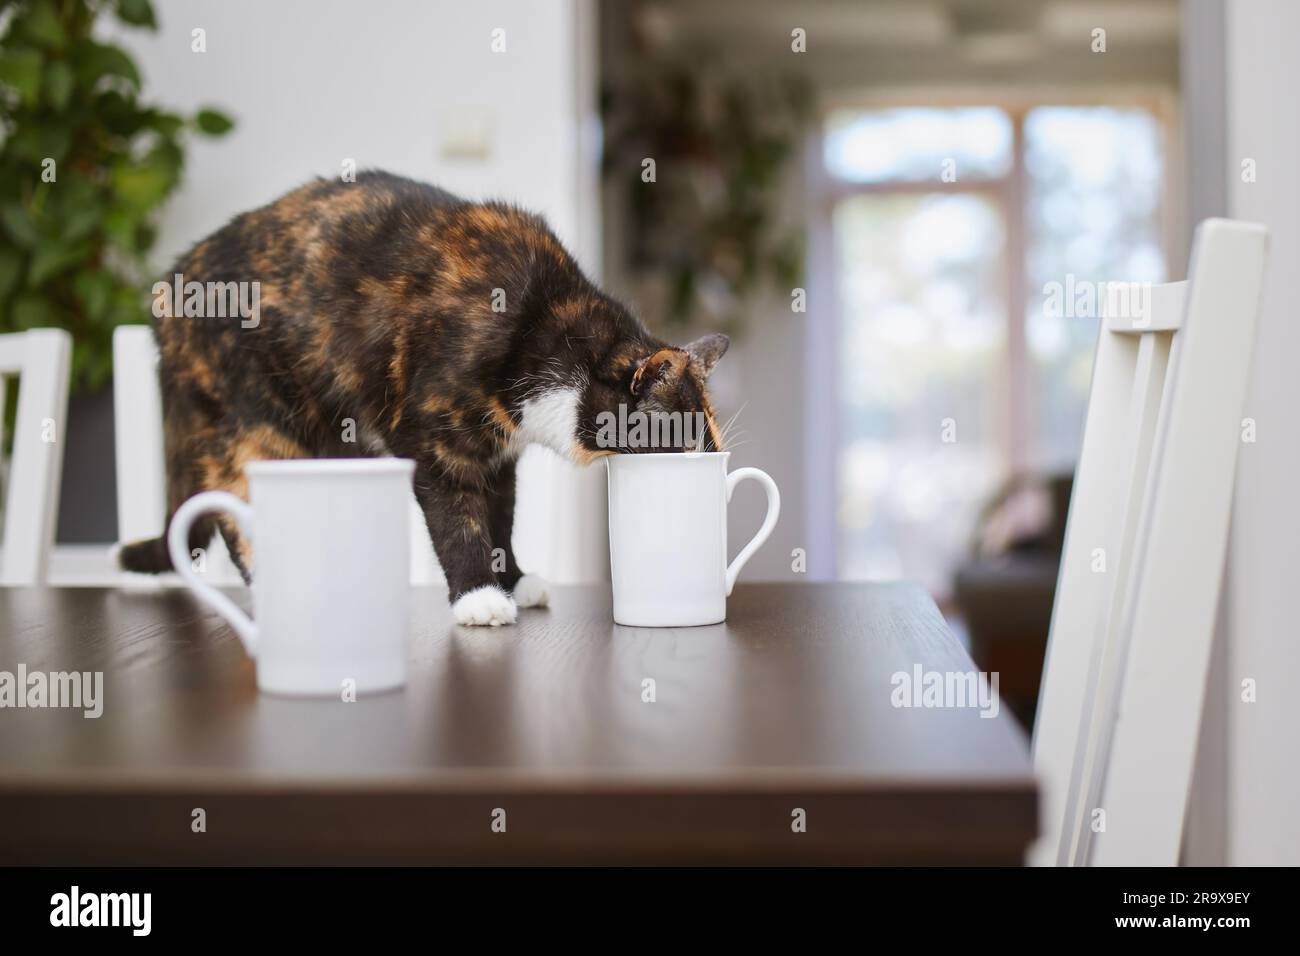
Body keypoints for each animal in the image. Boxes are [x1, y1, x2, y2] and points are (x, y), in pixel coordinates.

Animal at [119, 171, 733, 629]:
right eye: (678, 443)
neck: (547, 330)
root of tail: (169, 290)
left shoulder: (499, 454)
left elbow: (500, 517)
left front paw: (513, 579)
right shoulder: (434, 440)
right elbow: (459, 518)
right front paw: (479, 598)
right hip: (255, 423)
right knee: (237, 510)